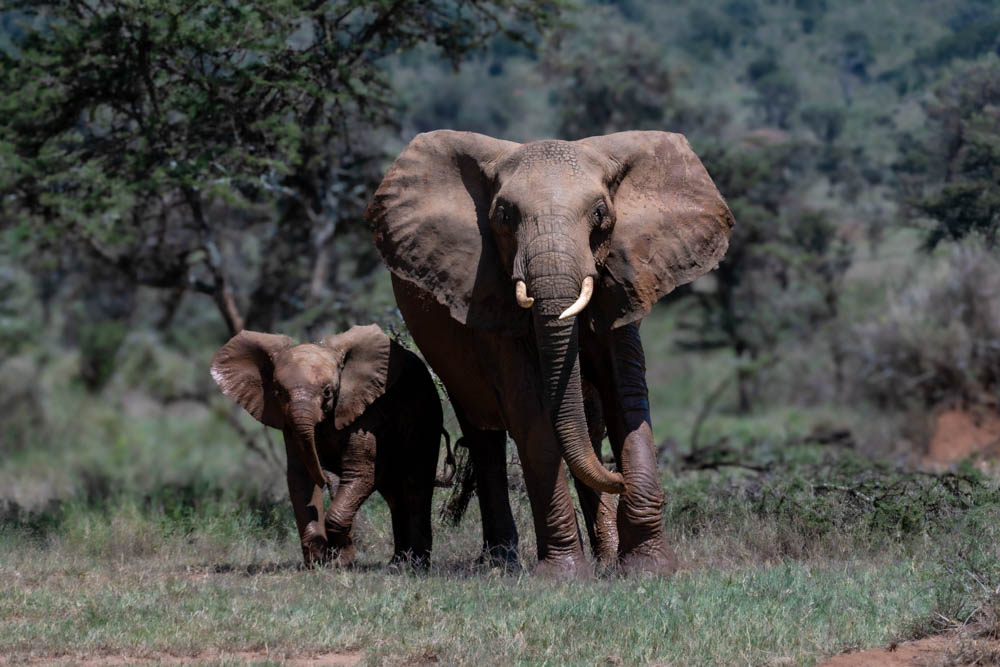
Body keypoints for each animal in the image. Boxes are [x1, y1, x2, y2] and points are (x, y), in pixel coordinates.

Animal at [210, 324, 451, 569]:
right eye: (279, 392)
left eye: (327, 391)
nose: (324, 474)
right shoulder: (288, 422)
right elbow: (300, 476)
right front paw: (320, 561)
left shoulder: (366, 410)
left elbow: (360, 472)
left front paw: (339, 561)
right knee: (394, 495)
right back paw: (397, 562)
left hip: (425, 414)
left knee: (415, 486)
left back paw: (415, 565)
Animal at [366, 130, 733, 576]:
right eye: (504, 215)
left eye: (600, 214)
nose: (620, 479)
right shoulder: (488, 294)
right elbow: (531, 409)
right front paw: (564, 575)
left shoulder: (624, 282)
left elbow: (626, 398)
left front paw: (649, 567)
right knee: (484, 432)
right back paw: (501, 561)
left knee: (587, 425)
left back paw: (604, 555)